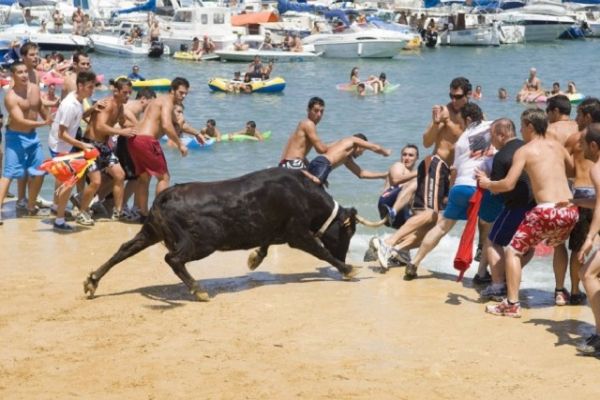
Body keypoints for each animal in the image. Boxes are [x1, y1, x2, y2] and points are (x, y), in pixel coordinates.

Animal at [84, 167, 370, 302]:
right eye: (349, 231)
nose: (345, 254)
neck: (301, 193)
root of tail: (166, 195)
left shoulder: (275, 230)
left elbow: (266, 245)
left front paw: (254, 259)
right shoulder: (297, 233)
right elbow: (321, 252)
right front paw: (348, 269)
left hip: (151, 231)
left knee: (124, 249)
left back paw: (92, 282)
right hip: (202, 242)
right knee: (173, 259)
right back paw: (199, 291)